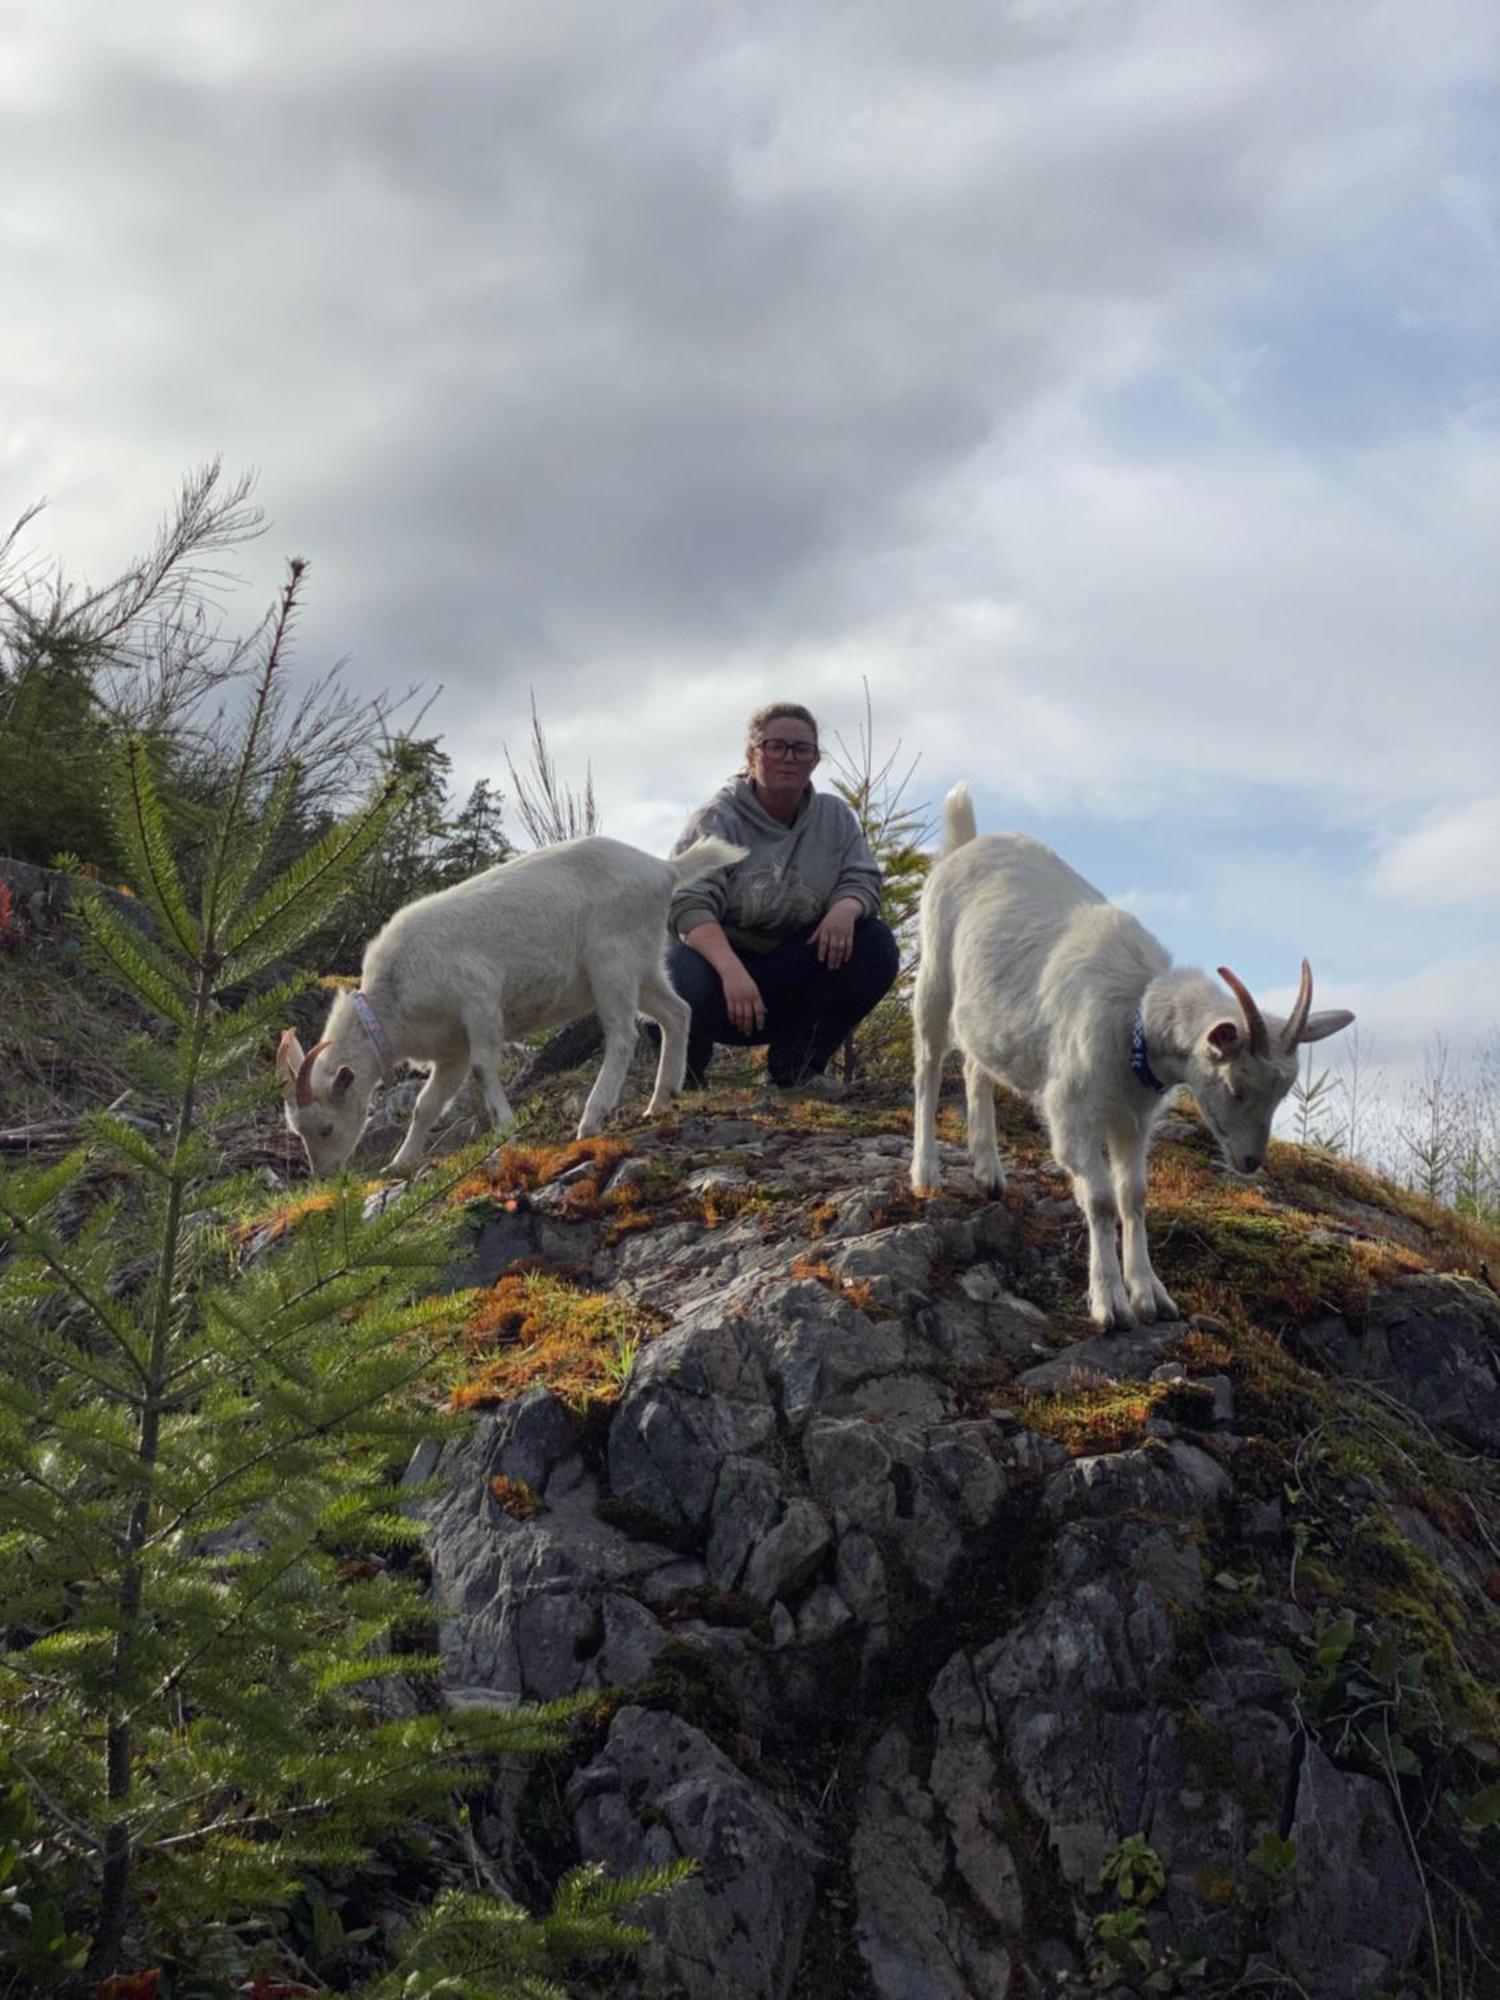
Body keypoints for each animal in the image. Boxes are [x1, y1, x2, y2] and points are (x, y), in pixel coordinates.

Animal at [276, 836, 748, 1176]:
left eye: (325, 1127)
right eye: (297, 1132)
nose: (325, 1176)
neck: (390, 998)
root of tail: (664, 869)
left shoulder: (479, 999)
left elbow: (485, 1069)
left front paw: (506, 1130)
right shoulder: (450, 1048)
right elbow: (426, 1103)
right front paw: (400, 1162)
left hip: (611, 960)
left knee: (623, 1036)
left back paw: (592, 1118)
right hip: (645, 963)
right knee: (676, 1012)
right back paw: (661, 1100)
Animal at [912, 780, 1360, 1328]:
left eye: (1283, 1092)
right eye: (1235, 1086)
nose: (1251, 1162)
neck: (1135, 1019)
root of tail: (967, 839)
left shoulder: (1132, 1118)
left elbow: (1135, 1196)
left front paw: (1149, 1294)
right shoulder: (1071, 1112)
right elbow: (1102, 1200)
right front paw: (1109, 1303)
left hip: (987, 1018)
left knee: (977, 1068)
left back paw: (988, 1173)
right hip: (934, 976)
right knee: (929, 1067)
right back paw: (925, 1172)